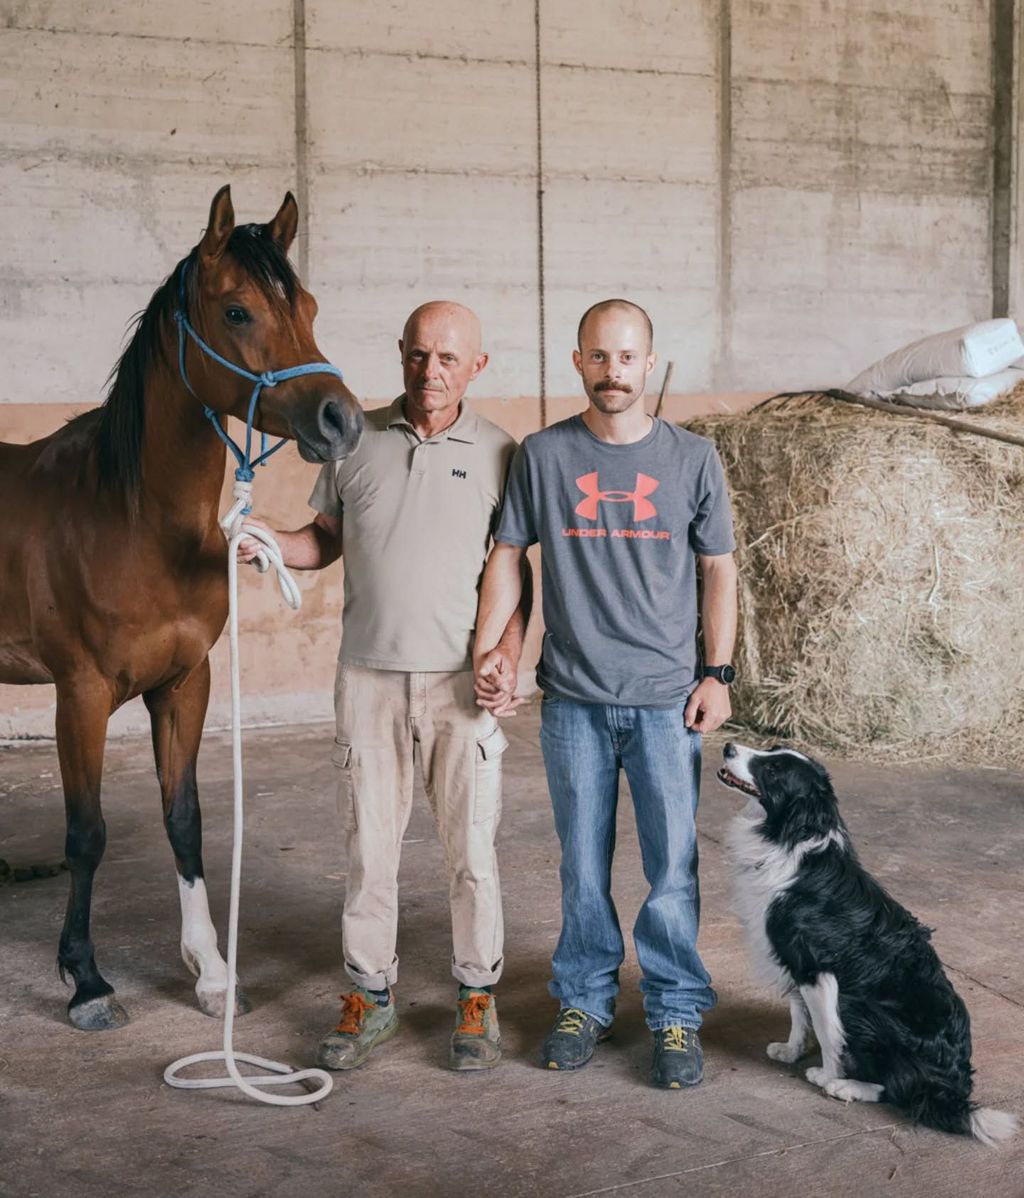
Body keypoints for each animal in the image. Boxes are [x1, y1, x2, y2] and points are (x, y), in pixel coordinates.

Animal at [0, 184, 364, 1030]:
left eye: (308, 305)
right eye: (237, 312)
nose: (343, 421)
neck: (129, 516)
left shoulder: (183, 683)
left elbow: (185, 819)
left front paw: (213, 972)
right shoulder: (81, 693)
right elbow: (87, 832)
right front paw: (87, 981)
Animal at [718, 742, 1015, 1145]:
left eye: (774, 770)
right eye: (771, 752)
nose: (727, 746)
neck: (788, 837)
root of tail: (953, 1088)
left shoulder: (816, 969)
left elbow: (827, 1031)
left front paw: (827, 1074)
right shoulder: (793, 961)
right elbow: (798, 1014)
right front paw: (791, 1051)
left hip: (863, 1009)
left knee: (902, 1090)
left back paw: (847, 1087)